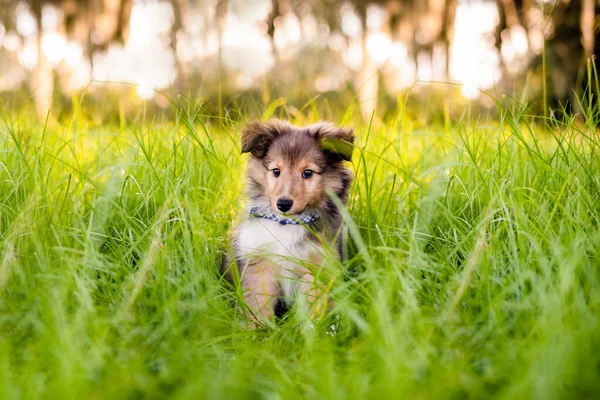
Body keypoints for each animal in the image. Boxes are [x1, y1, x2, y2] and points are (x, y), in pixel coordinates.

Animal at [221, 120, 354, 326]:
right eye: (276, 171)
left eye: (307, 173)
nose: (283, 204)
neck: (287, 223)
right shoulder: (260, 262)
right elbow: (257, 305)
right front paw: (254, 330)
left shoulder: (316, 267)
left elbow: (312, 307)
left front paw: (311, 331)